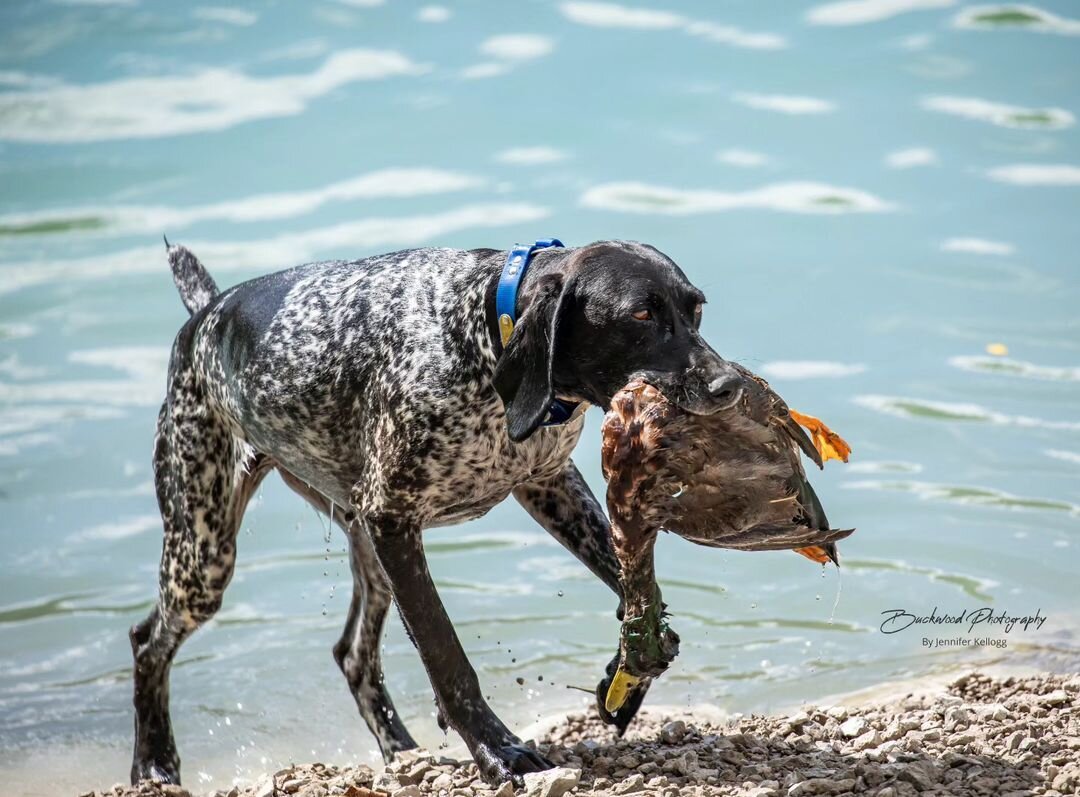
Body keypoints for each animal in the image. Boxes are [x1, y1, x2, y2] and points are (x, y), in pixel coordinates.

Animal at [130, 235, 747, 781]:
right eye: (641, 315)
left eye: (696, 310)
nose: (729, 386)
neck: (481, 332)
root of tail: (203, 316)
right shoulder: (393, 521)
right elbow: (446, 655)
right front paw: (498, 749)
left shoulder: (549, 484)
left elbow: (638, 595)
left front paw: (628, 672)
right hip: (205, 555)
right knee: (147, 643)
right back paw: (154, 762)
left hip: (365, 554)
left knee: (354, 657)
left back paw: (401, 752)